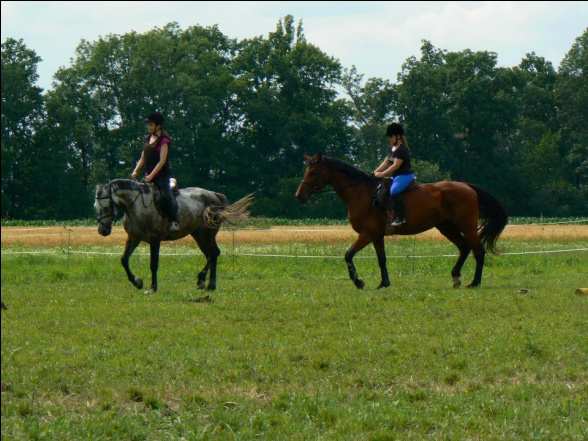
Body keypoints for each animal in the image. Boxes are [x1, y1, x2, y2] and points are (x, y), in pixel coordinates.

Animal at [94, 179, 253, 292]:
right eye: (96, 207)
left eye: (106, 206)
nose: (102, 230)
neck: (136, 206)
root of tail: (215, 195)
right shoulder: (134, 238)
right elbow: (124, 260)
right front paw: (137, 282)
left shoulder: (155, 240)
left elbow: (153, 264)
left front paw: (153, 287)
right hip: (199, 235)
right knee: (212, 254)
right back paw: (209, 285)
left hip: (206, 234)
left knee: (213, 253)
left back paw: (202, 280)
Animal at [296, 154, 508, 288]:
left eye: (313, 173)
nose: (298, 196)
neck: (361, 193)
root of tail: (467, 187)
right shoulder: (376, 236)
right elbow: (381, 259)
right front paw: (384, 283)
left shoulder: (367, 234)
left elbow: (348, 255)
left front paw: (359, 282)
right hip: (446, 227)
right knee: (464, 247)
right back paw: (456, 278)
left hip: (467, 226)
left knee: (478, 251)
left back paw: (475, 282)